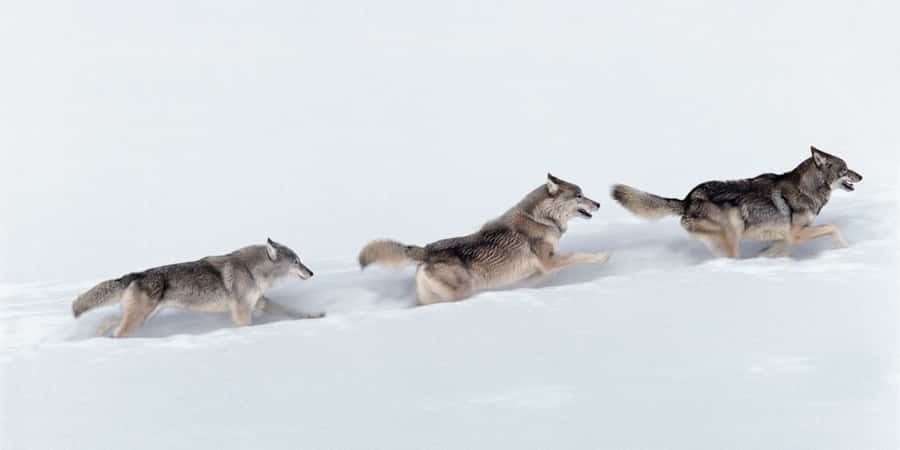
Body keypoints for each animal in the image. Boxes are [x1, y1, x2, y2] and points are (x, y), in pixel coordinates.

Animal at [72, 238, 323, 337]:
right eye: (296, 262)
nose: (311, 273)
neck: (253, 271)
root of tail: (135, 275)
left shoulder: (259, 304)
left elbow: (293, 312)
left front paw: (315, 316)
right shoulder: (243, 313)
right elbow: (248, 326)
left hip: (142, 319)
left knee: (109, 323)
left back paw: (99, 339)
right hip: (137, 321)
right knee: (117, 331)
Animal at [358, 174, 611, 305]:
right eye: (579, 196)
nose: (599, 204)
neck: (542, 219)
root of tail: (426, 249)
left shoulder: (545, 266)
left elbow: (540, 277)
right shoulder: (549, 261)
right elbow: (580, 256)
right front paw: (603, 257)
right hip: (462, 292)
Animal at [612, 146, 863, 258]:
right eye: (845, 169)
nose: (861, 176)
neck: (807, 189)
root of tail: (686, 200)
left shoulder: (785, 237)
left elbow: (777, 250)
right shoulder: (795, 234)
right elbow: (832, 227)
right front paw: (845, 248)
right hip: (734, 228)